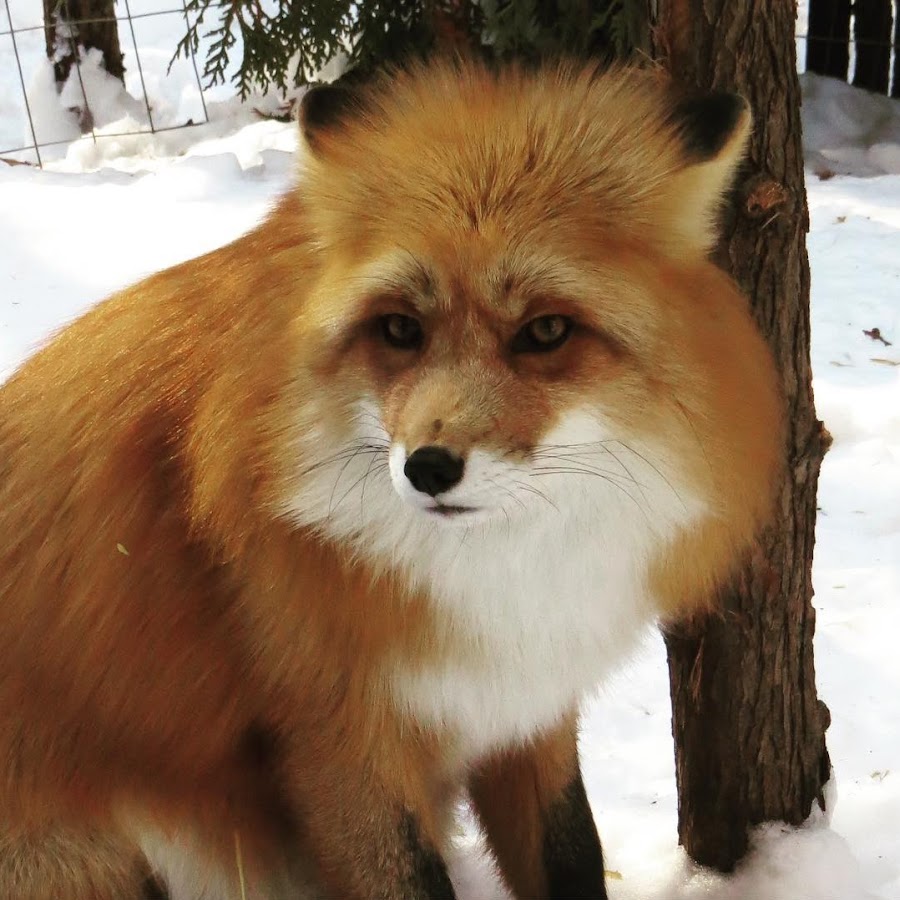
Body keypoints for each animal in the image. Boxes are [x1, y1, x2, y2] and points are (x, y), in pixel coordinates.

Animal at [0, 59, 783, 900]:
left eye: (545, 331)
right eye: (401, 329)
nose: (428, 467)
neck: (495, 585)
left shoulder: (526, 708)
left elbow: (571, 851)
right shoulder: (338, 737)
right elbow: (409, 875)